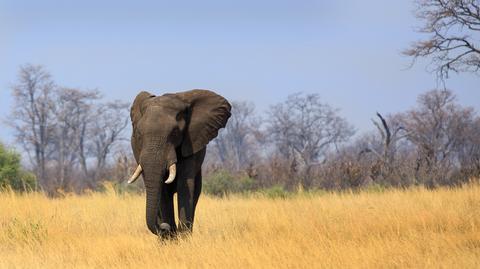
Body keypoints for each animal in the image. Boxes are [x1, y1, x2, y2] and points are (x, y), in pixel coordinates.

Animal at [127, 88, 232, 237]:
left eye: (175, 132)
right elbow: (162, 191)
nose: (164, 227)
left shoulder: (191, 142)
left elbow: (185, 185)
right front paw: (170, 236)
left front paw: (183, 237)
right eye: (139, 134)